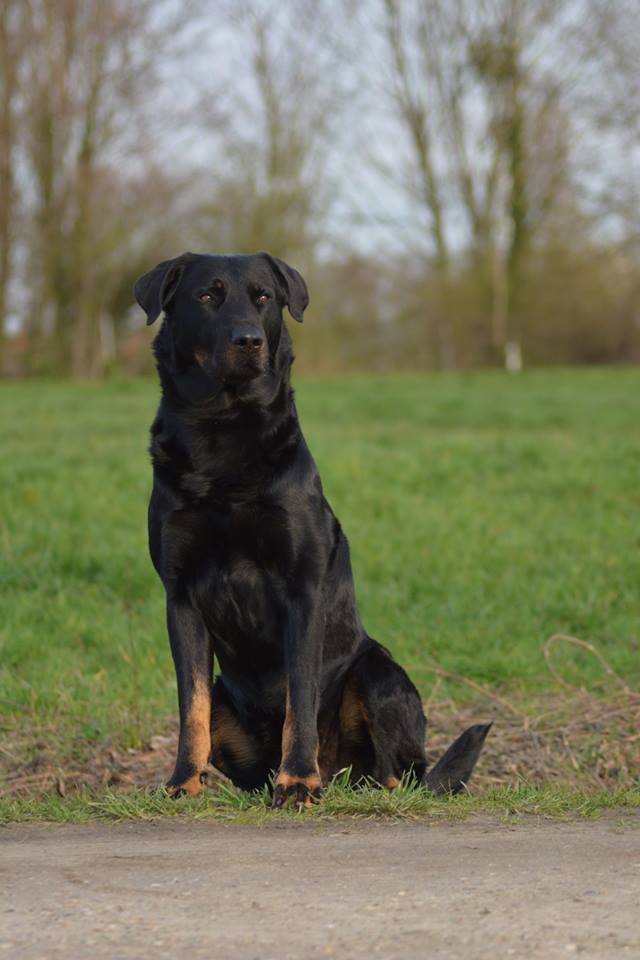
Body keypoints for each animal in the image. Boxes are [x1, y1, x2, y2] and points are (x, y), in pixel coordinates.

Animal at [132, 251, 488, 808]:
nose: (249, 340)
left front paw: (298, 781)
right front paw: (182, 782)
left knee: (397, 773)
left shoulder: (301, 590)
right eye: (207, 296)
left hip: (378, 673)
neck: (223, 433)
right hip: (230, 700)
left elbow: (299, 699)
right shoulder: (180, 596)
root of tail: (344, 775)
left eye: (263, 297)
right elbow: (191, 707)